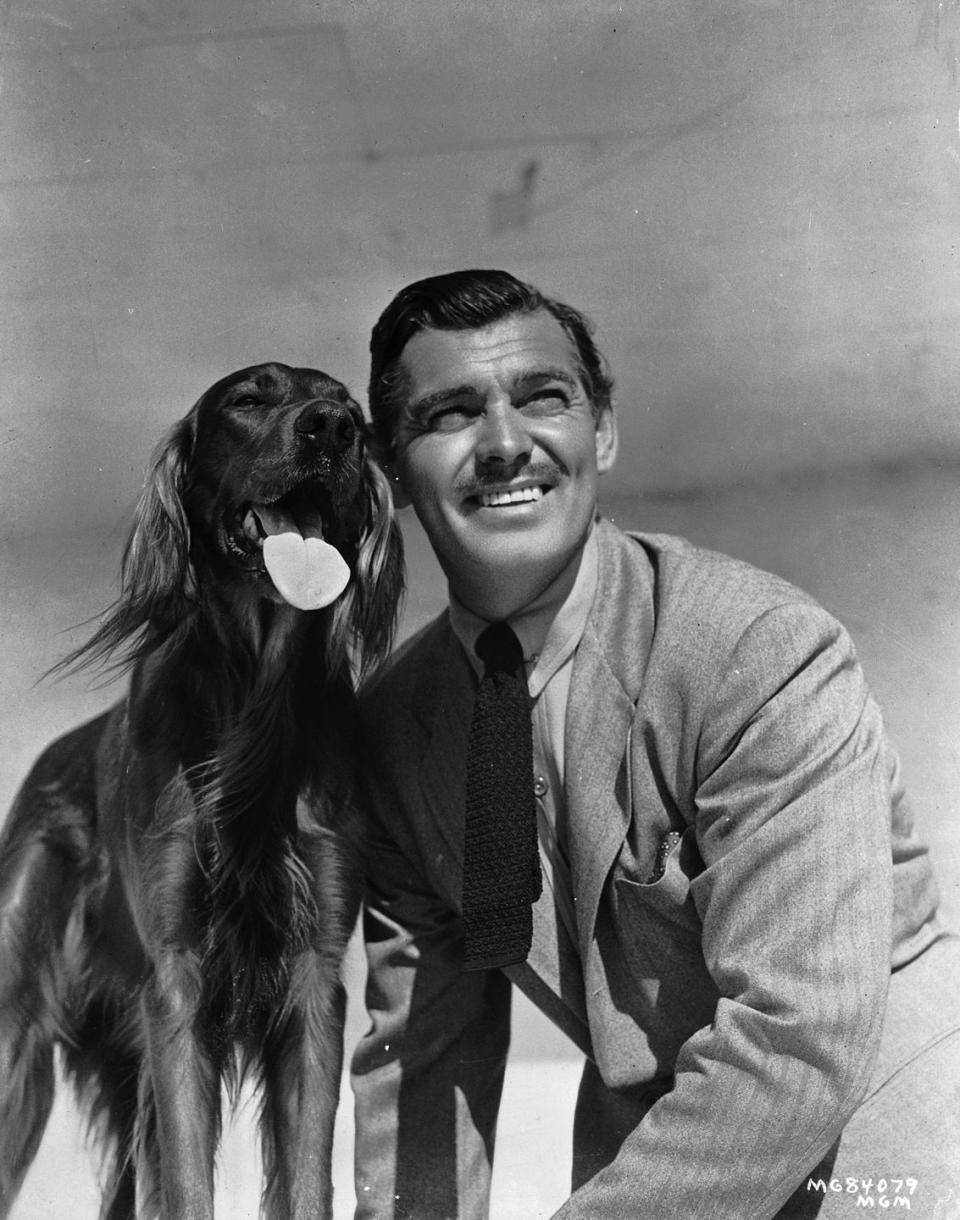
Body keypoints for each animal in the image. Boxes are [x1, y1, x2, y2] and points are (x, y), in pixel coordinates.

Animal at [0, 361, 402, 1220]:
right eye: (249, 399)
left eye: (352, 413)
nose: (330, 430)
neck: (253, 695)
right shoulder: (177, 985)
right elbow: (188, 1186)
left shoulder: (312, 984)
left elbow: (307, 1179)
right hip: (18, 1044)